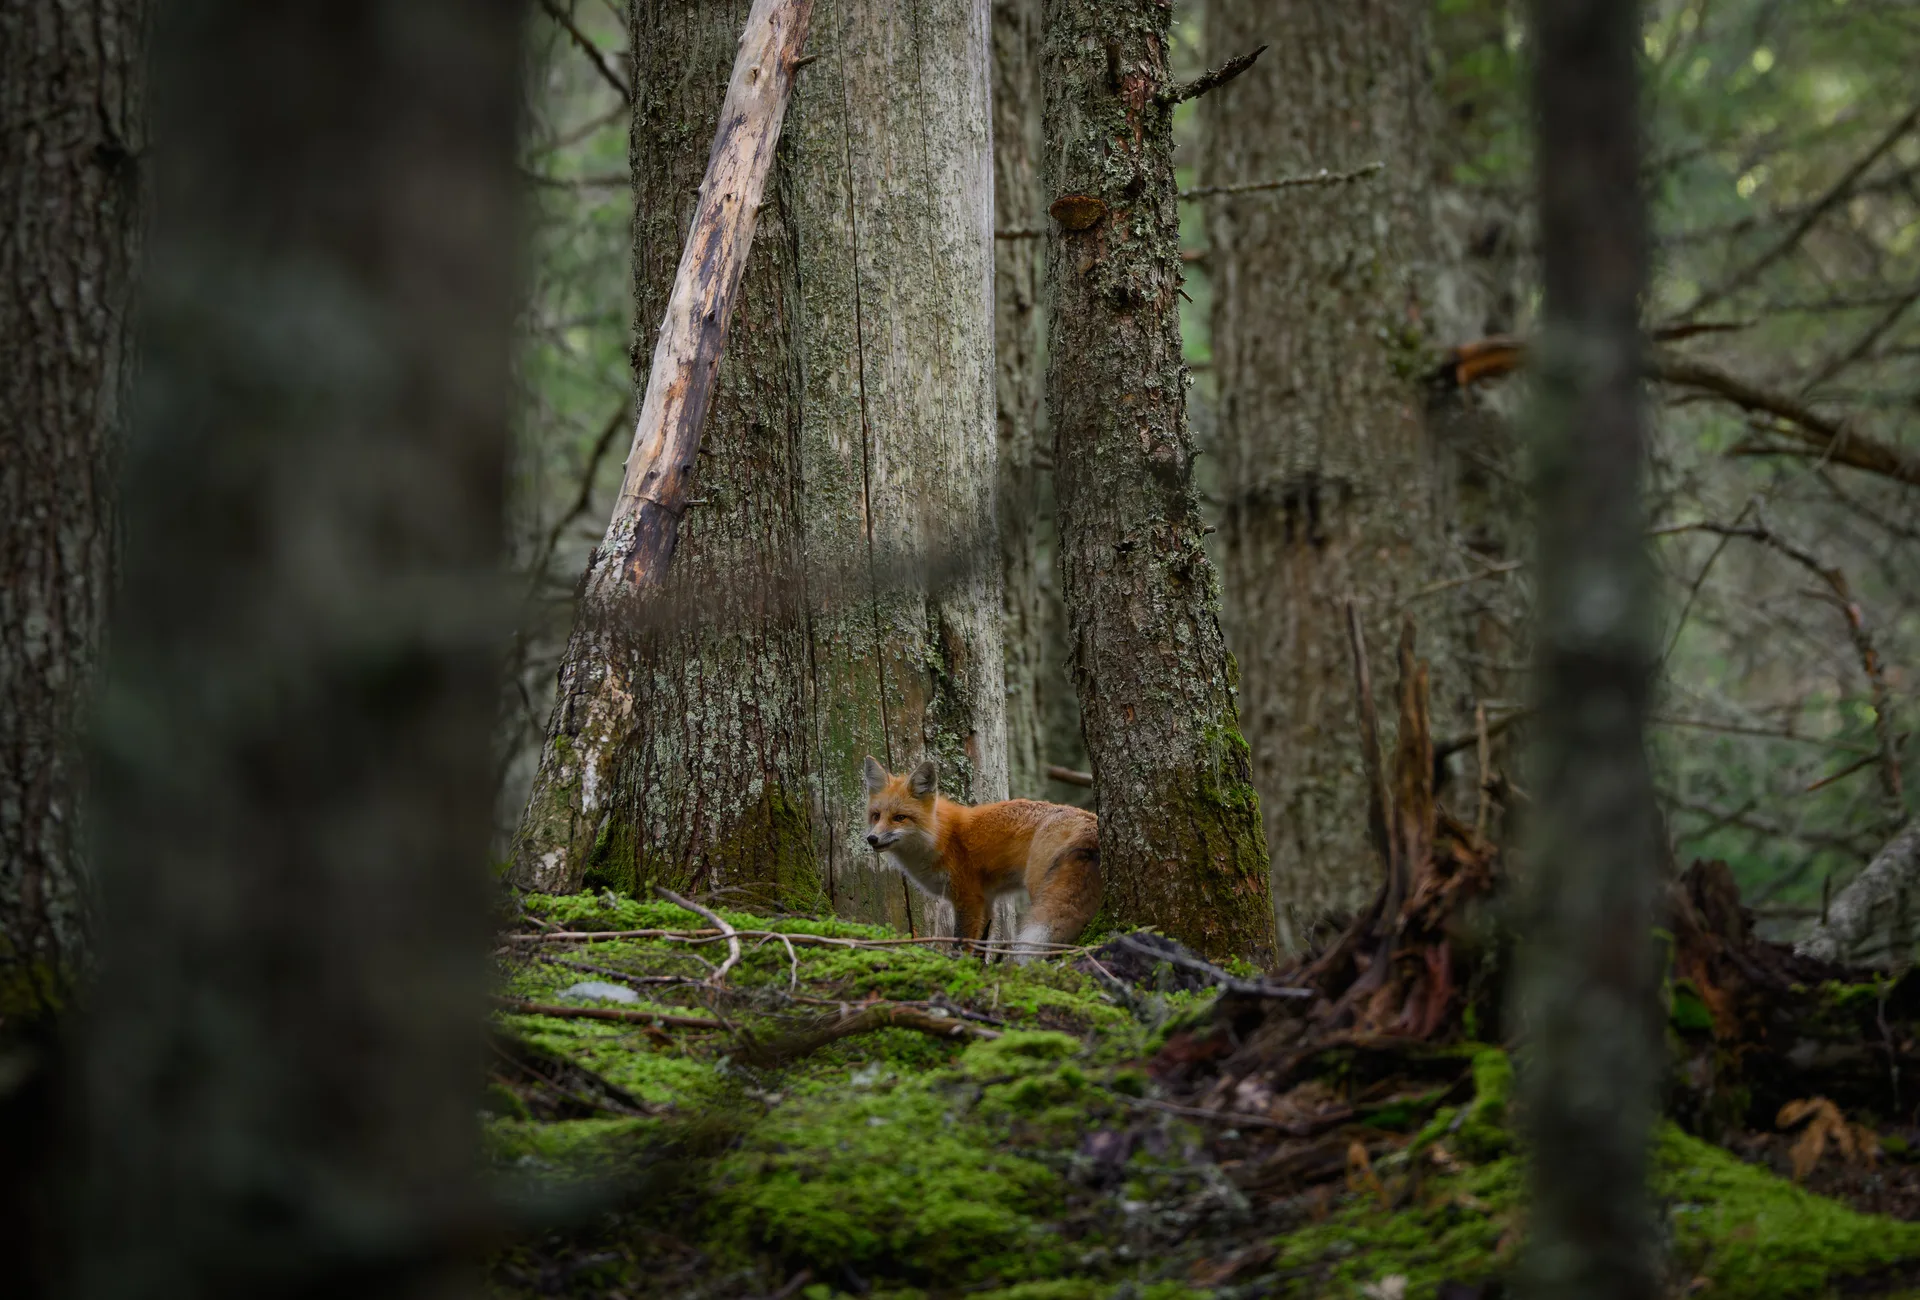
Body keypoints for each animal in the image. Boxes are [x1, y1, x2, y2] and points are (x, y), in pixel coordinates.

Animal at [862, 756, 1101, 961]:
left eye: (899, 818)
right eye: (876, 816)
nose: (871, 838)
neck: (941, 836)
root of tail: (1090, 819)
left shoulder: (968, 898)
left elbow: (961, 942)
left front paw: (959, 967)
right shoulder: (986, 900)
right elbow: (981, 945)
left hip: (1038, 887)